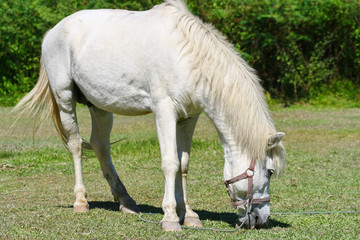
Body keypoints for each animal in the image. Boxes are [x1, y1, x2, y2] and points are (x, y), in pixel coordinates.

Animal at [13, 0, 284, 231]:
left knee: (100, 146)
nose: (260, 219)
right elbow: (170, 163)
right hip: (65, 98)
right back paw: (81, 201)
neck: (187, 55)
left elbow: (183, 165)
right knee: (76, 145)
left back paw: (126, 201)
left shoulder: (189, 118)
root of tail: (53, 31)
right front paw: (171, 217)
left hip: (99, 105)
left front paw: (190, 215)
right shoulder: (164, 112)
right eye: (270, 172)